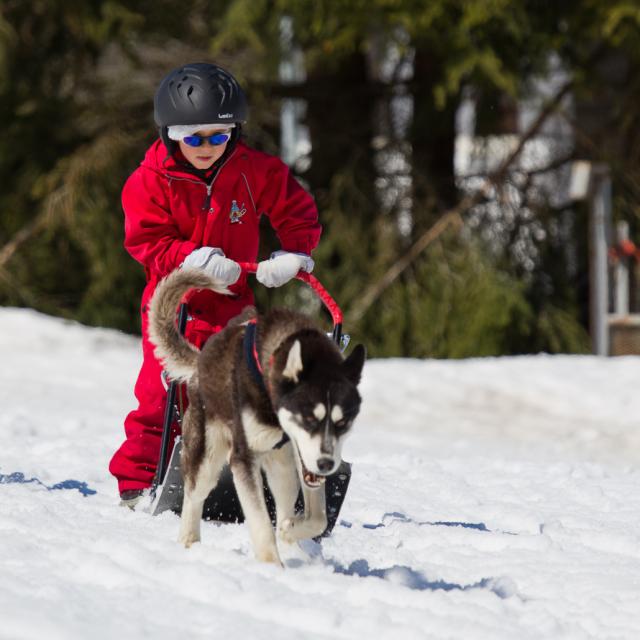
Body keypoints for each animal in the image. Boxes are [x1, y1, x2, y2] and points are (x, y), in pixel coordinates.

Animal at [146, 268, 364, 564]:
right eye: (309, 419)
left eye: (343, 422)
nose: (326, 464)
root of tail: (200, 361)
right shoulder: (243, 458)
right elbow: (261, 524)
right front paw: (272, 566)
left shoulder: (304, 460)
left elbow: (317, 518)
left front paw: (290, 530)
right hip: (207, 456)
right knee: (194, 495)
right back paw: (190, 543)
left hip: (282, 466)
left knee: (285, 501)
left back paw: (293, 541)